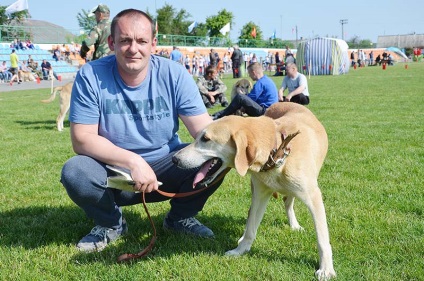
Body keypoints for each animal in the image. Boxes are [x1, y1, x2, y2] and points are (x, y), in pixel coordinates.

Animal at [172, 101, 334, 278]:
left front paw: (326, 269)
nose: (174, 159)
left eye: (205, 139)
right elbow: (250, 227)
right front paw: (240, 250)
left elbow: (322, 239)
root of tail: (286, 101)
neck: (276, 150)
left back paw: (294, 225)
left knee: (288, 201)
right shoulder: (260, 195)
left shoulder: (314, 197)